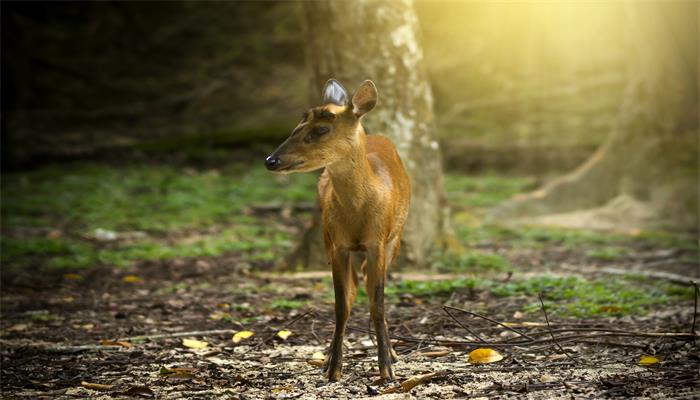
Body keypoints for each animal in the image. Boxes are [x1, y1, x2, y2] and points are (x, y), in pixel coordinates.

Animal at [266, 79, 410, 382]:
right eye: (296, 127)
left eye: (321, 130)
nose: (271, 160)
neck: (359, 210)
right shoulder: (338, 244)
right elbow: (341, 304)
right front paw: (334, 369)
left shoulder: (378, 241)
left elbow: (377, 302)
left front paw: (386, 369)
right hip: (326, 236)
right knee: (354, 291)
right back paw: (329, 357)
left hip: (396, 237)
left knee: (369, 286)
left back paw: (391, 353)